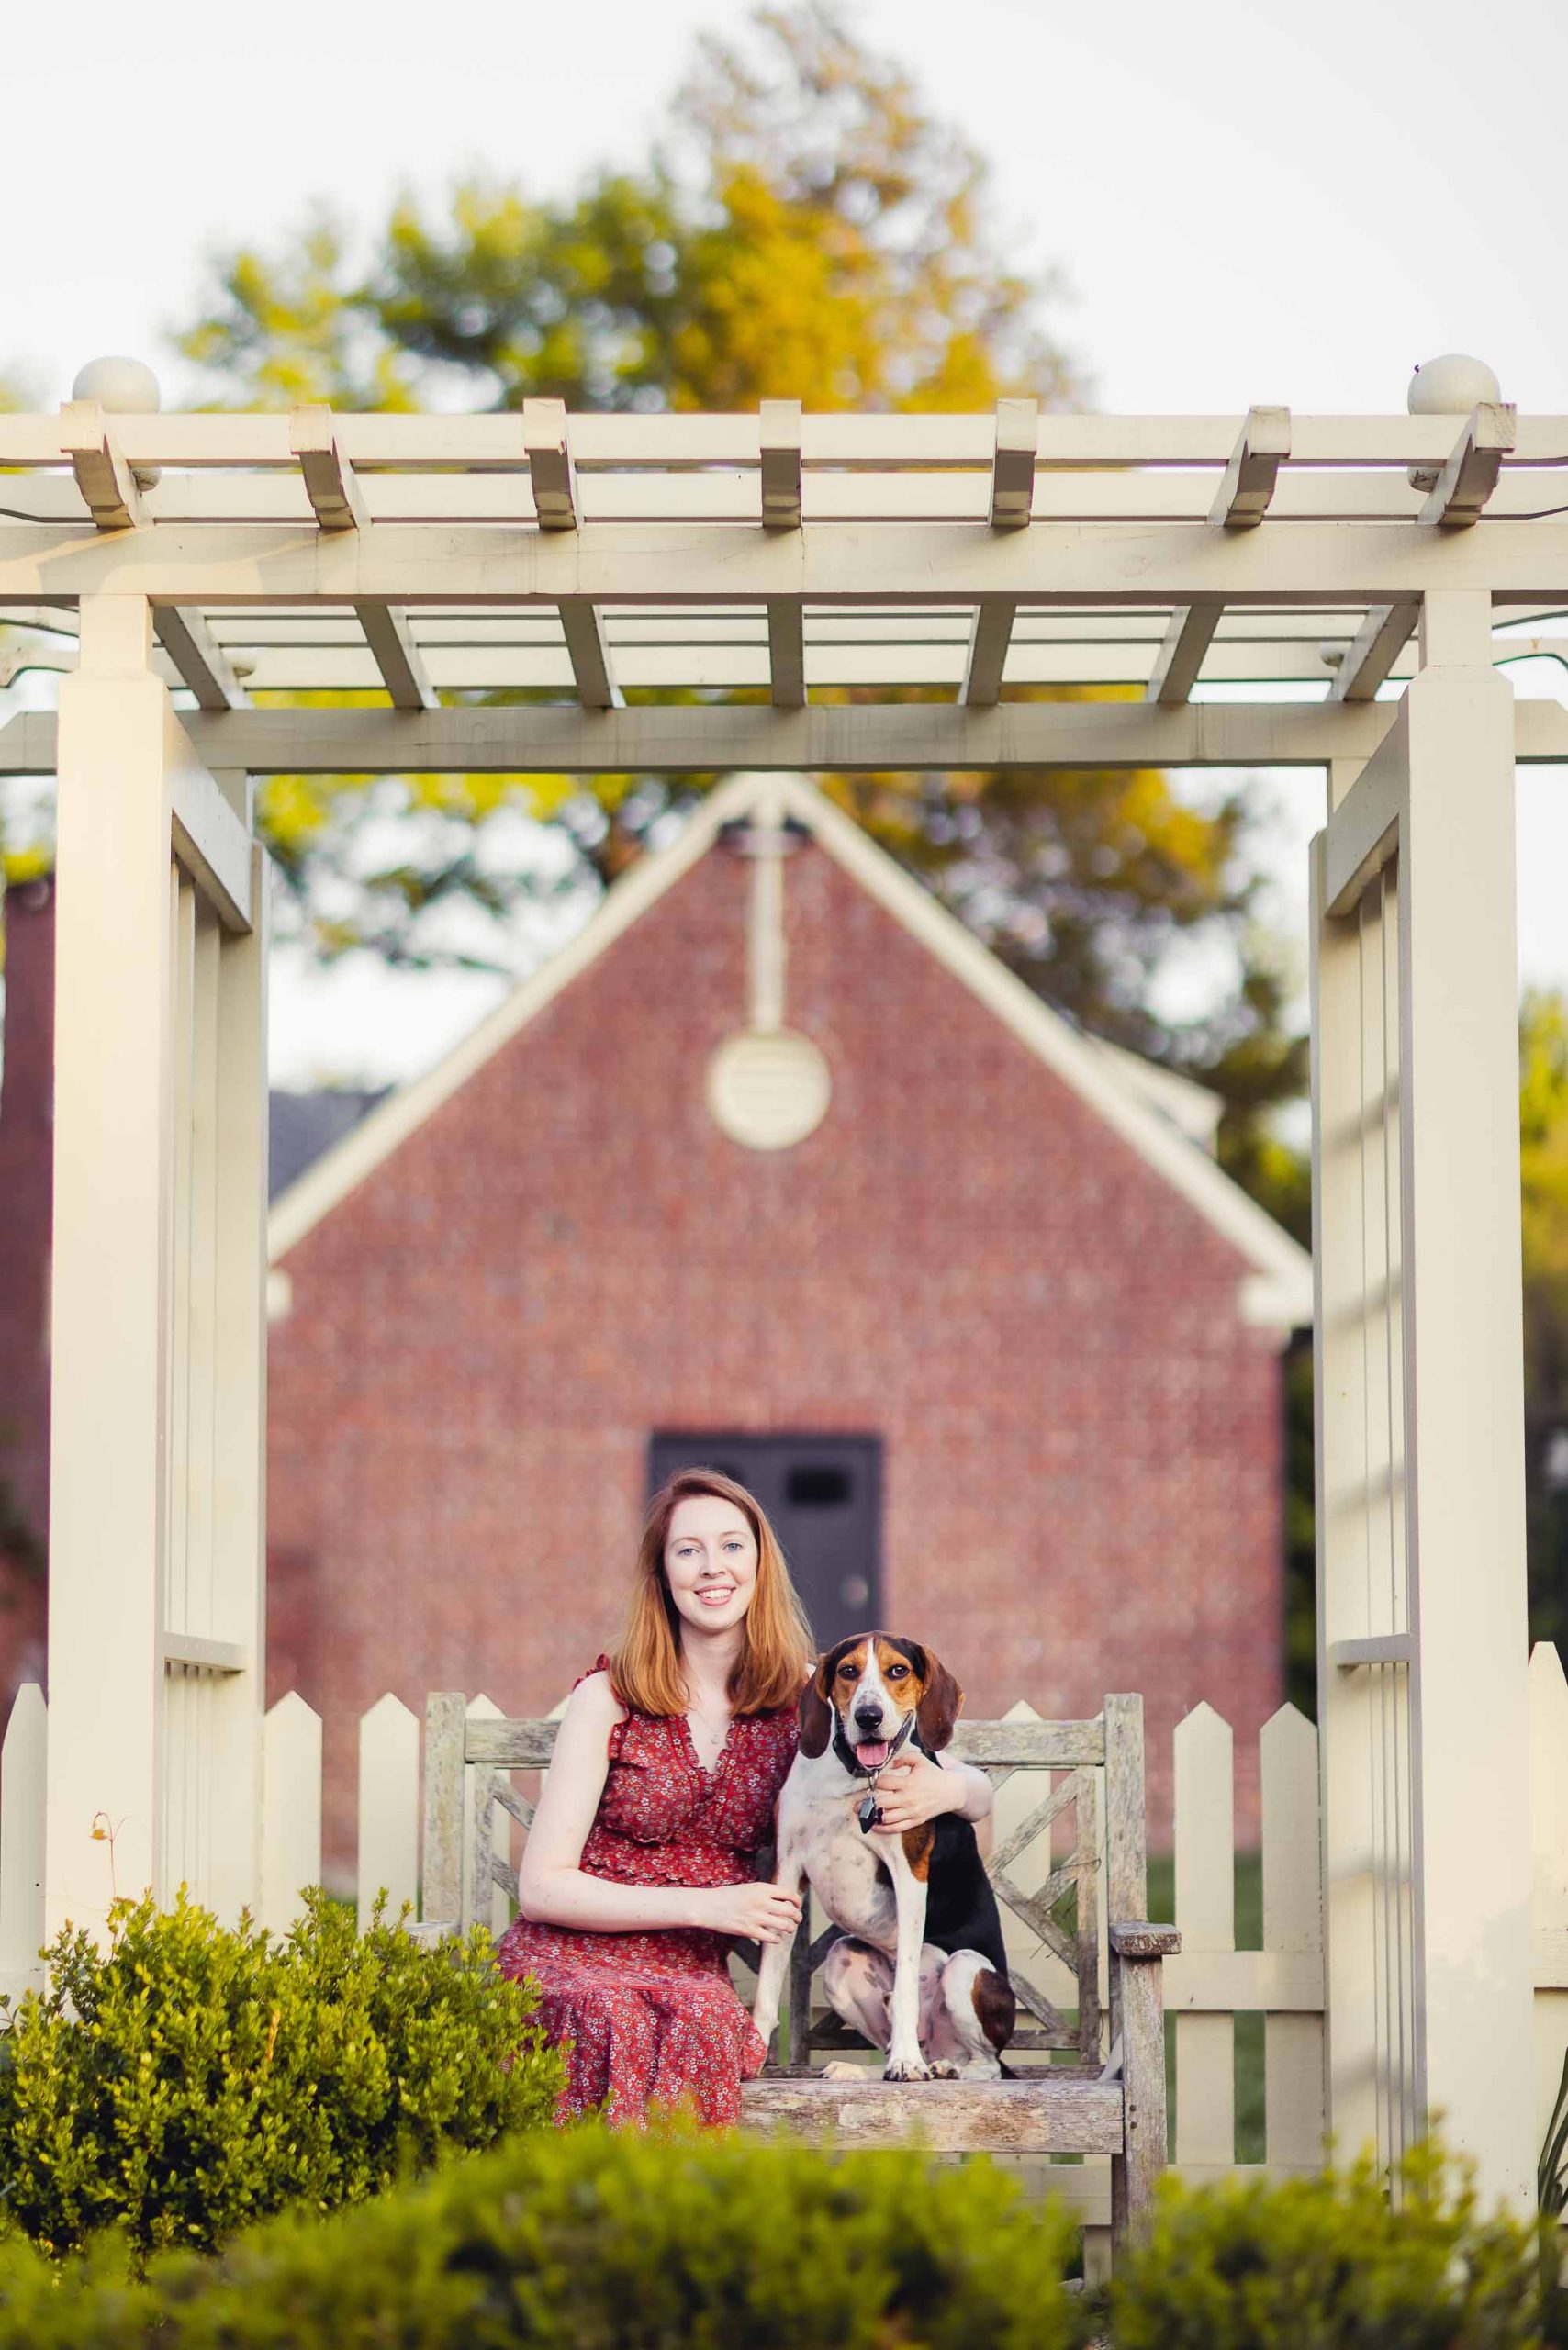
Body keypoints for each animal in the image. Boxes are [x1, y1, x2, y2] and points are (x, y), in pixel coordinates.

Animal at [752, 1635, 1025, 2077]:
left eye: (898, 1670)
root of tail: (939, 2046)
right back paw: (863, 2070)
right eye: (848, 1671)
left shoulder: (909, 1875)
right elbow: (766, 1985)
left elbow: (907, 1981)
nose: (868, 1717)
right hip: (842, 1960)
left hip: (967, 1969)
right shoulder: (787, 1873)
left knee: (986, 2066)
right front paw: (751, 2051)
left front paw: (905, 2063)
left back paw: (936, 2066)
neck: (857, 1779)